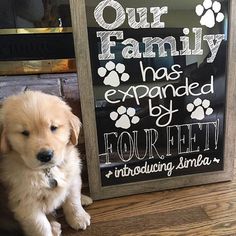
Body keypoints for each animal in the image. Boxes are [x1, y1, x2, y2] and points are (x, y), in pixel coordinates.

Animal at [0, 91, 91, 236]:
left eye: (53, 128)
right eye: (24, 133)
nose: (45, 155)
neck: (48, 171)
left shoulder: (72, 176)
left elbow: (73, 201)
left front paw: (78, 217)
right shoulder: (25, 203)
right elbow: (40, 227)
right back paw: (54, 227)